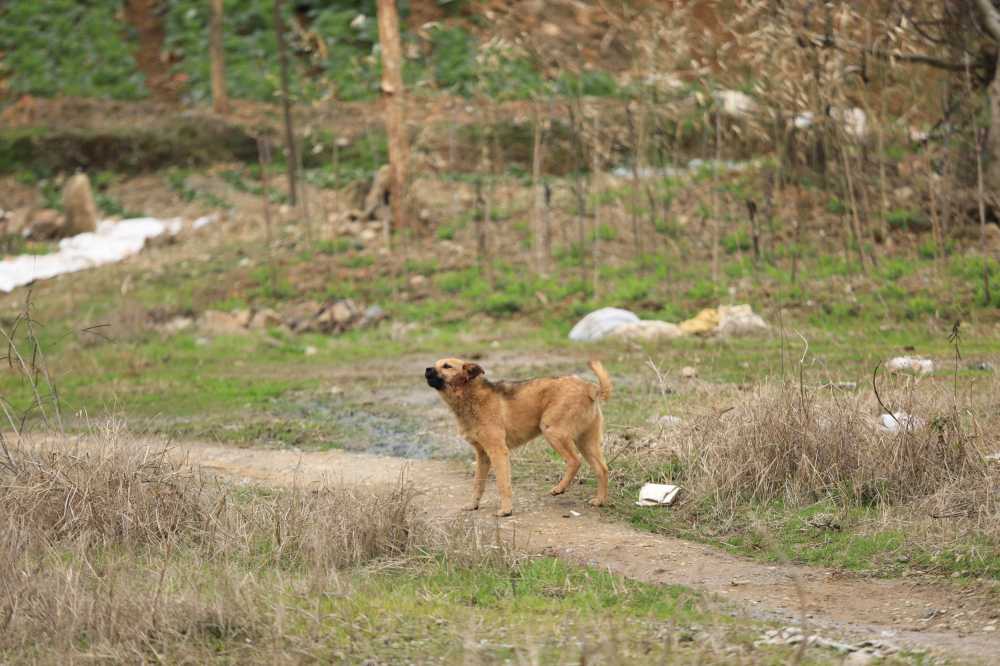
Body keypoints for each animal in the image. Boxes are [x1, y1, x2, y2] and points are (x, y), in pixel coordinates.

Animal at [422, 356, 608, 516]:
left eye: (447, 366)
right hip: (586, 442)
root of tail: (588, 387)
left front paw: (505, 511)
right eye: (435, 364)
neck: (469, 395)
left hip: (553, 431)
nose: (426, 369)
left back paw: (559, 488)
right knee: (602, 469)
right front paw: (473, 505)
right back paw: (599, 500)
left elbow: (503, 484)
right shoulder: (483, 455)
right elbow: (478, 484)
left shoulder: (498, 451)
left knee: (574, 461)